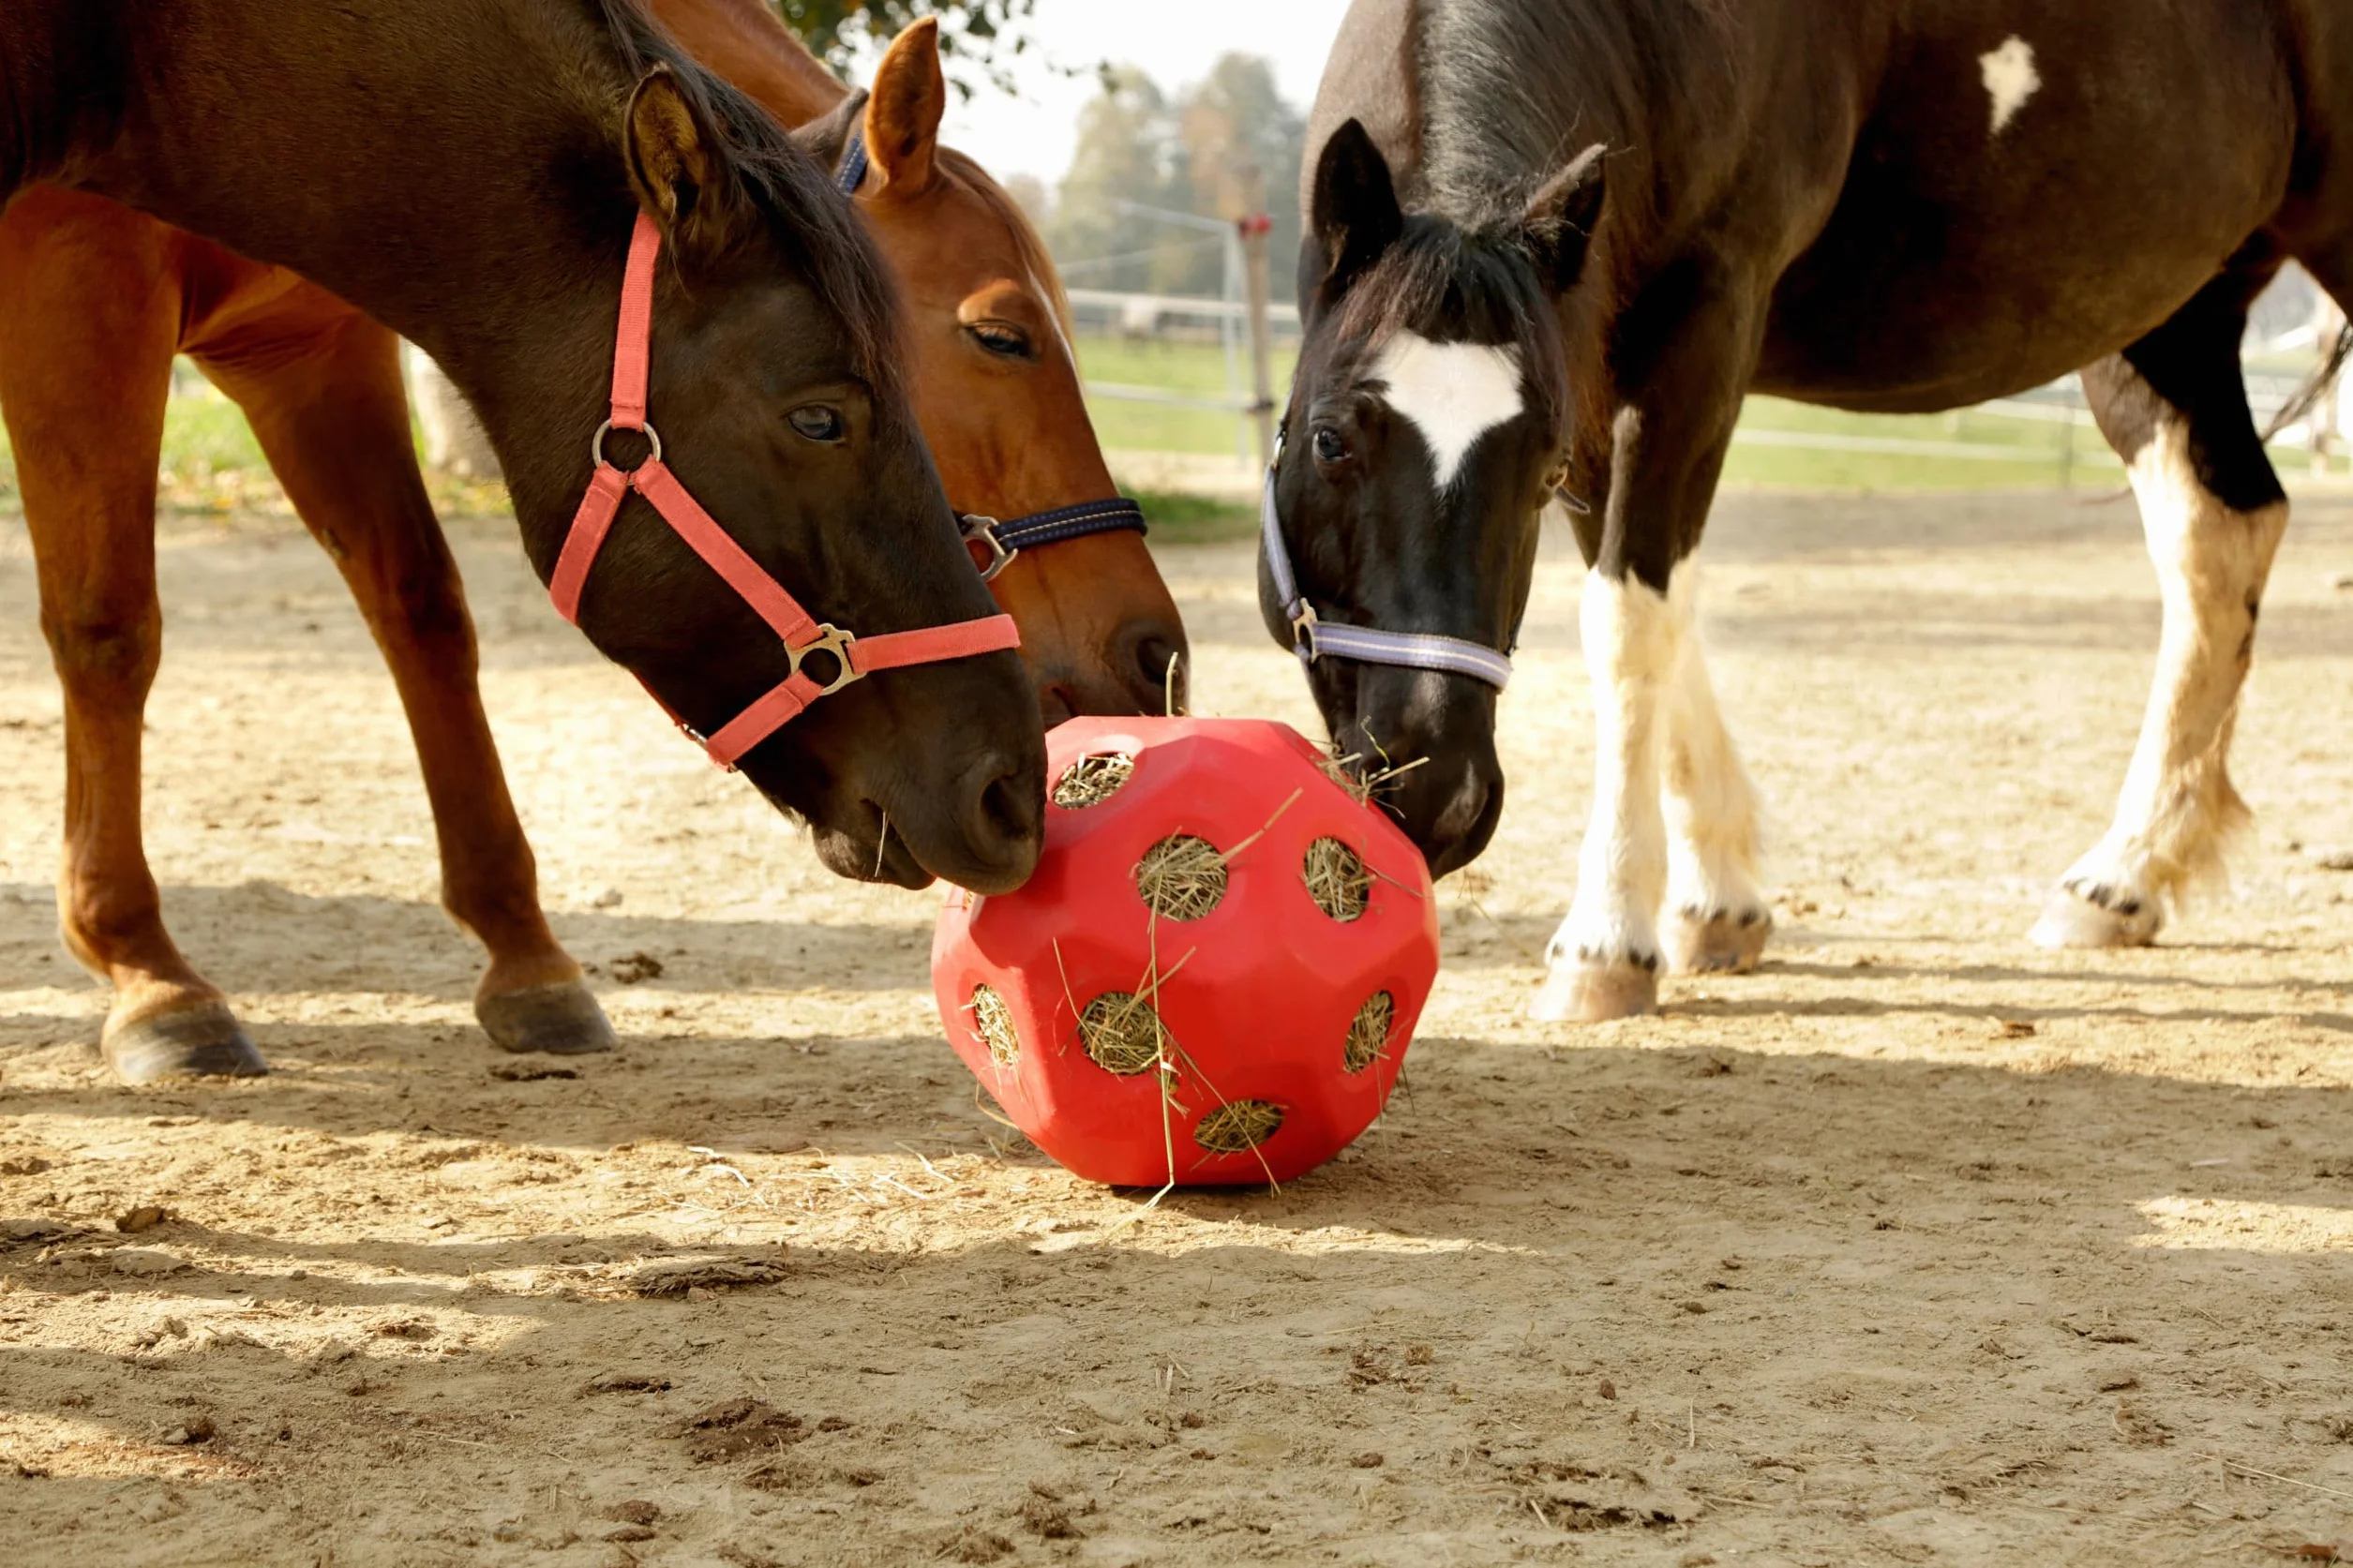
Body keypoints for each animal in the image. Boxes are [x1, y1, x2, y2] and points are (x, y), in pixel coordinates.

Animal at [0, 0, 1046, 1081]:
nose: (1012, 792)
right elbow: (110, 625)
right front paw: (152, 977)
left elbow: (423, 609)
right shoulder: (77, 295)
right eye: (819, 418)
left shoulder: (301, 348)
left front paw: (526, 959)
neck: (130, 46)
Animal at [1267, 0, 2353, 1021]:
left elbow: (1628, 622)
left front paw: (1607, 942)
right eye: (1329, 439)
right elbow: (1653, 610)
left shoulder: (1698, 332)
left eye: (1539, 467)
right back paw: (2124, 876)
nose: (1436, 791)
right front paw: (1717, 900)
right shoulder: (1599, 364)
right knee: (2221, 539)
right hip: (2173, 315)